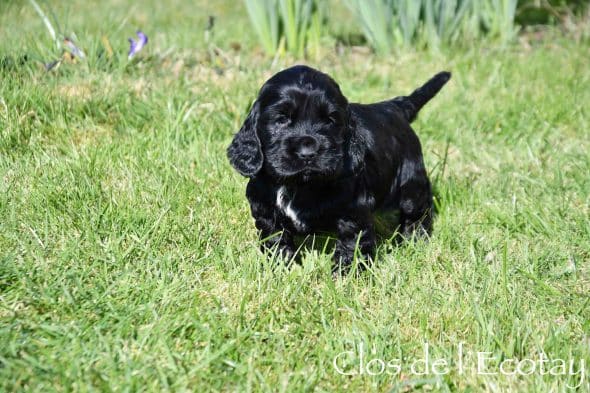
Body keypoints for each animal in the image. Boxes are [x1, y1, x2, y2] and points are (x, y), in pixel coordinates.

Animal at [229, 65, 450, 272]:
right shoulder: (266, 210)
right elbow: (276, 240)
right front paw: (281, 268)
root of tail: (394, 107)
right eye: (281, 119)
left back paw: (415, 242)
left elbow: (352, 243)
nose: (307, 151)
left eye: (330, 120)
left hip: (411, 182)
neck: (300, 184)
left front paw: (345, 276)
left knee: (417, 212)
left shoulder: (353, 211)